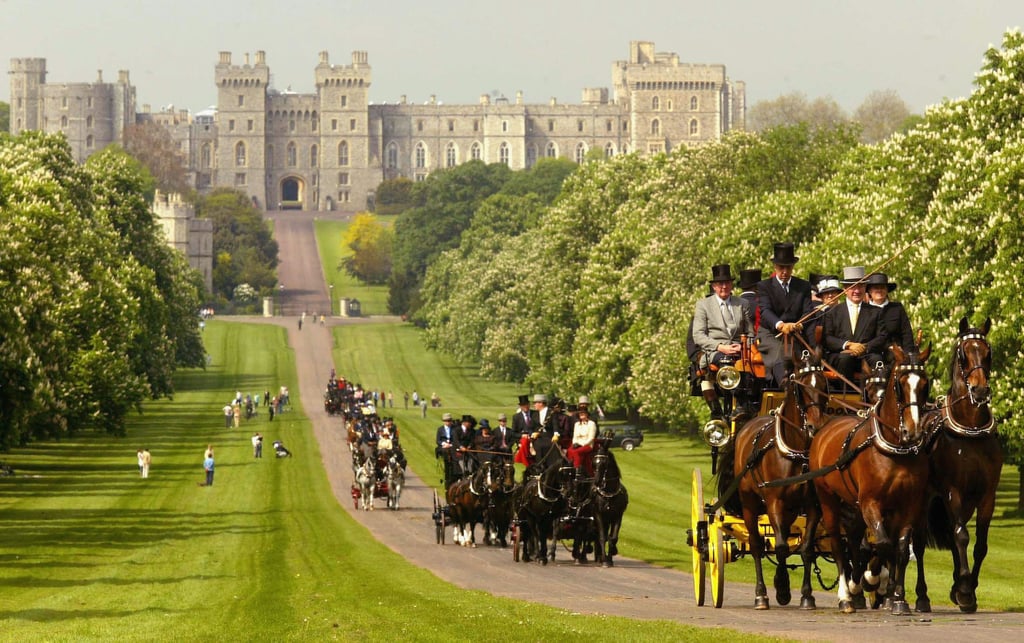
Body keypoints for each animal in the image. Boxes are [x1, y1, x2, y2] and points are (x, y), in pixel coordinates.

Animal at [720, 346, 831, 606]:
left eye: (824, 384)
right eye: (801, 387)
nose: (815, 426)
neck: (797, 453)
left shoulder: (812, 506)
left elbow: (806, 548)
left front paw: (807, 595)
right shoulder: (774, 502)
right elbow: (779, 547)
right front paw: (781, 587)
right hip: (750, 504)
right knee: (756, 544)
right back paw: (761, 594)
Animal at [811, 344, 933, 614]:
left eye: (925, 384)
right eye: (900, 383)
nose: (913, 432)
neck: (895, 450)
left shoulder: (908, 505)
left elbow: (899, 548)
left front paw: (897, 598)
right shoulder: (870, 502)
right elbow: (883, 544)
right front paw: (869, 580)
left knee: (855, 538)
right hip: (827, 498)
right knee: (838, 544)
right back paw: (847, 594)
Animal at [913, 317, 999, 614]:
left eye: (987, 351)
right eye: (963, 353)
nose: (980, 389)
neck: (970, 430)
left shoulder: (986, 495)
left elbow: (980, 544)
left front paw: (967, 588)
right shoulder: (953, 492)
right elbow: (962, 536)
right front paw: (963, 589)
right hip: (923, 500)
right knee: (918, 543)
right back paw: (922, 596)